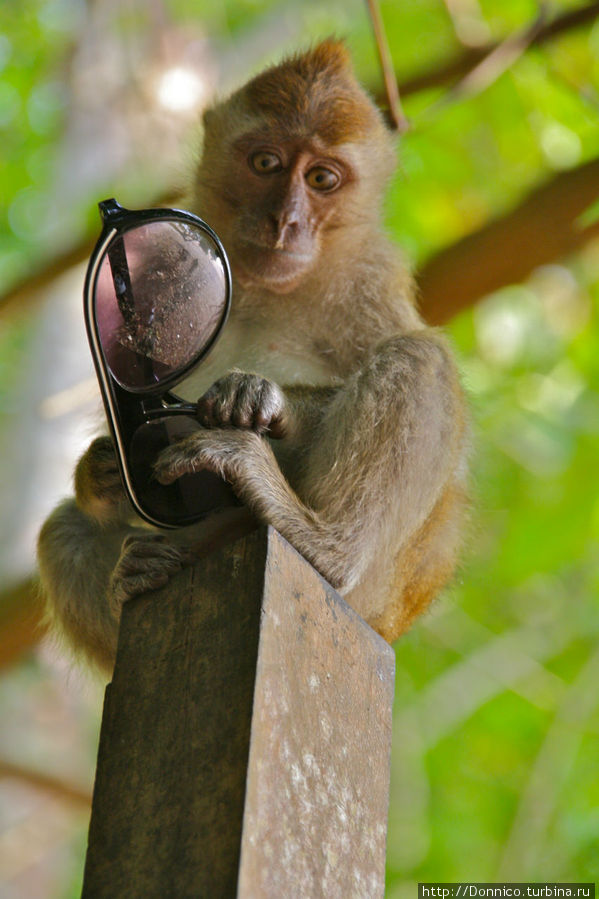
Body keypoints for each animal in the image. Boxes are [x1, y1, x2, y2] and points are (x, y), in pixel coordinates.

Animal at [36, 42, 468, 676]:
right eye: (266, 162)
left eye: (321, 179)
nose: (285, 221)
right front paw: (98, 467)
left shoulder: (371, 279)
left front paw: (259, 398)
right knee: (60, 530)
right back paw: (133, 580)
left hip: (381, 594)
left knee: (419, 358)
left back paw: (322, 545)